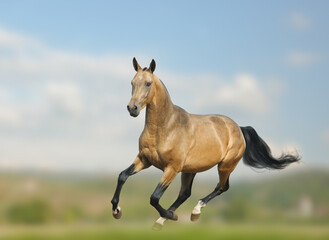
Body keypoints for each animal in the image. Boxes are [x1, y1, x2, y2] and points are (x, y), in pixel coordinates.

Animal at [111, 57, 300, 230]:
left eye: (148, 83)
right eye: (132, 82)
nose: (132, 108)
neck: (165, 127)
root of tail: (239, 128)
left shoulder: (171, 168)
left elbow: (154, 197)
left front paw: (172, 215)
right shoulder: (144, 160)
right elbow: (122, 176)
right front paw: (116, 210)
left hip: (225, 165)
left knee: (222, 187)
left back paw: (193, 212)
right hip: (191, 170)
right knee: (185, 194)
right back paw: (162, 221)